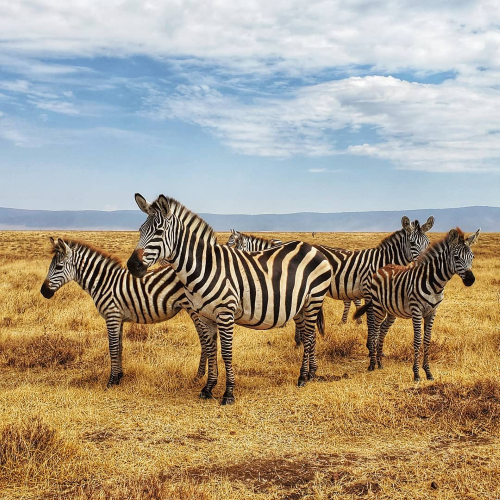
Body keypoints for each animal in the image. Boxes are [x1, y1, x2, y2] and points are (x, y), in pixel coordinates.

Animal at [41, 237, 215, 386]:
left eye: (58, 267)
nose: (43, 292)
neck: (103, 283)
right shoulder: (118, 318)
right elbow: (119, 347)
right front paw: (119, 377)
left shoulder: (111, 315)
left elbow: (112, 348)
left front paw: (111, 382)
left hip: (194, 310)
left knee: (205, 341)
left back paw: (199, 376)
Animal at [127, 193, 334, 404]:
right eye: (140, 230)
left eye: (159, 231)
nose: (132, 266)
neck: (204, 267)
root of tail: (311, 247)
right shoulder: (205, 316)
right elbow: (211, 350)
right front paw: (208, 388)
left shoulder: (225, 313)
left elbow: (226, 352)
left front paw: (228, 393)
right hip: (300, 305)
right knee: (310, 335)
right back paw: (310, 373)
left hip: (314, 299)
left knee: (308, 336)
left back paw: (302, 377)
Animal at [354, 229, 478, 380]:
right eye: (456, 257)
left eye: (472, 257)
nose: (471, 280)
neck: (435, 284)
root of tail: (382, 268)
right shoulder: (416, 310)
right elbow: (418, 340)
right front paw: (416, 373)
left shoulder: (432, 312)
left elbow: (427, 340)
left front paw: (428, 372)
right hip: (378, 306)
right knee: (375, 329)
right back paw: (372, 364)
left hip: (391, 310)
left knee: (382, 329)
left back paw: (379, 362)